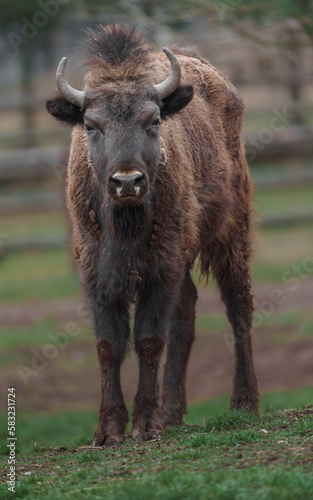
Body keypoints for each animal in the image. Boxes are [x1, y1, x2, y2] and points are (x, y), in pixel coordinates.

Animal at [45, 24, 258, 446]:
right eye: (91, 125)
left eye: (154, 120)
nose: (128, 182)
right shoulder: (97, 272)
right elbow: (108, 345)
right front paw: (109, 431)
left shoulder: (161, 266)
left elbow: (148, 339)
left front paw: (146, 424)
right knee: (186, 316)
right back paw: (174, 412)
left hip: (231, 233)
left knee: (238, 305)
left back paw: (244, 402)